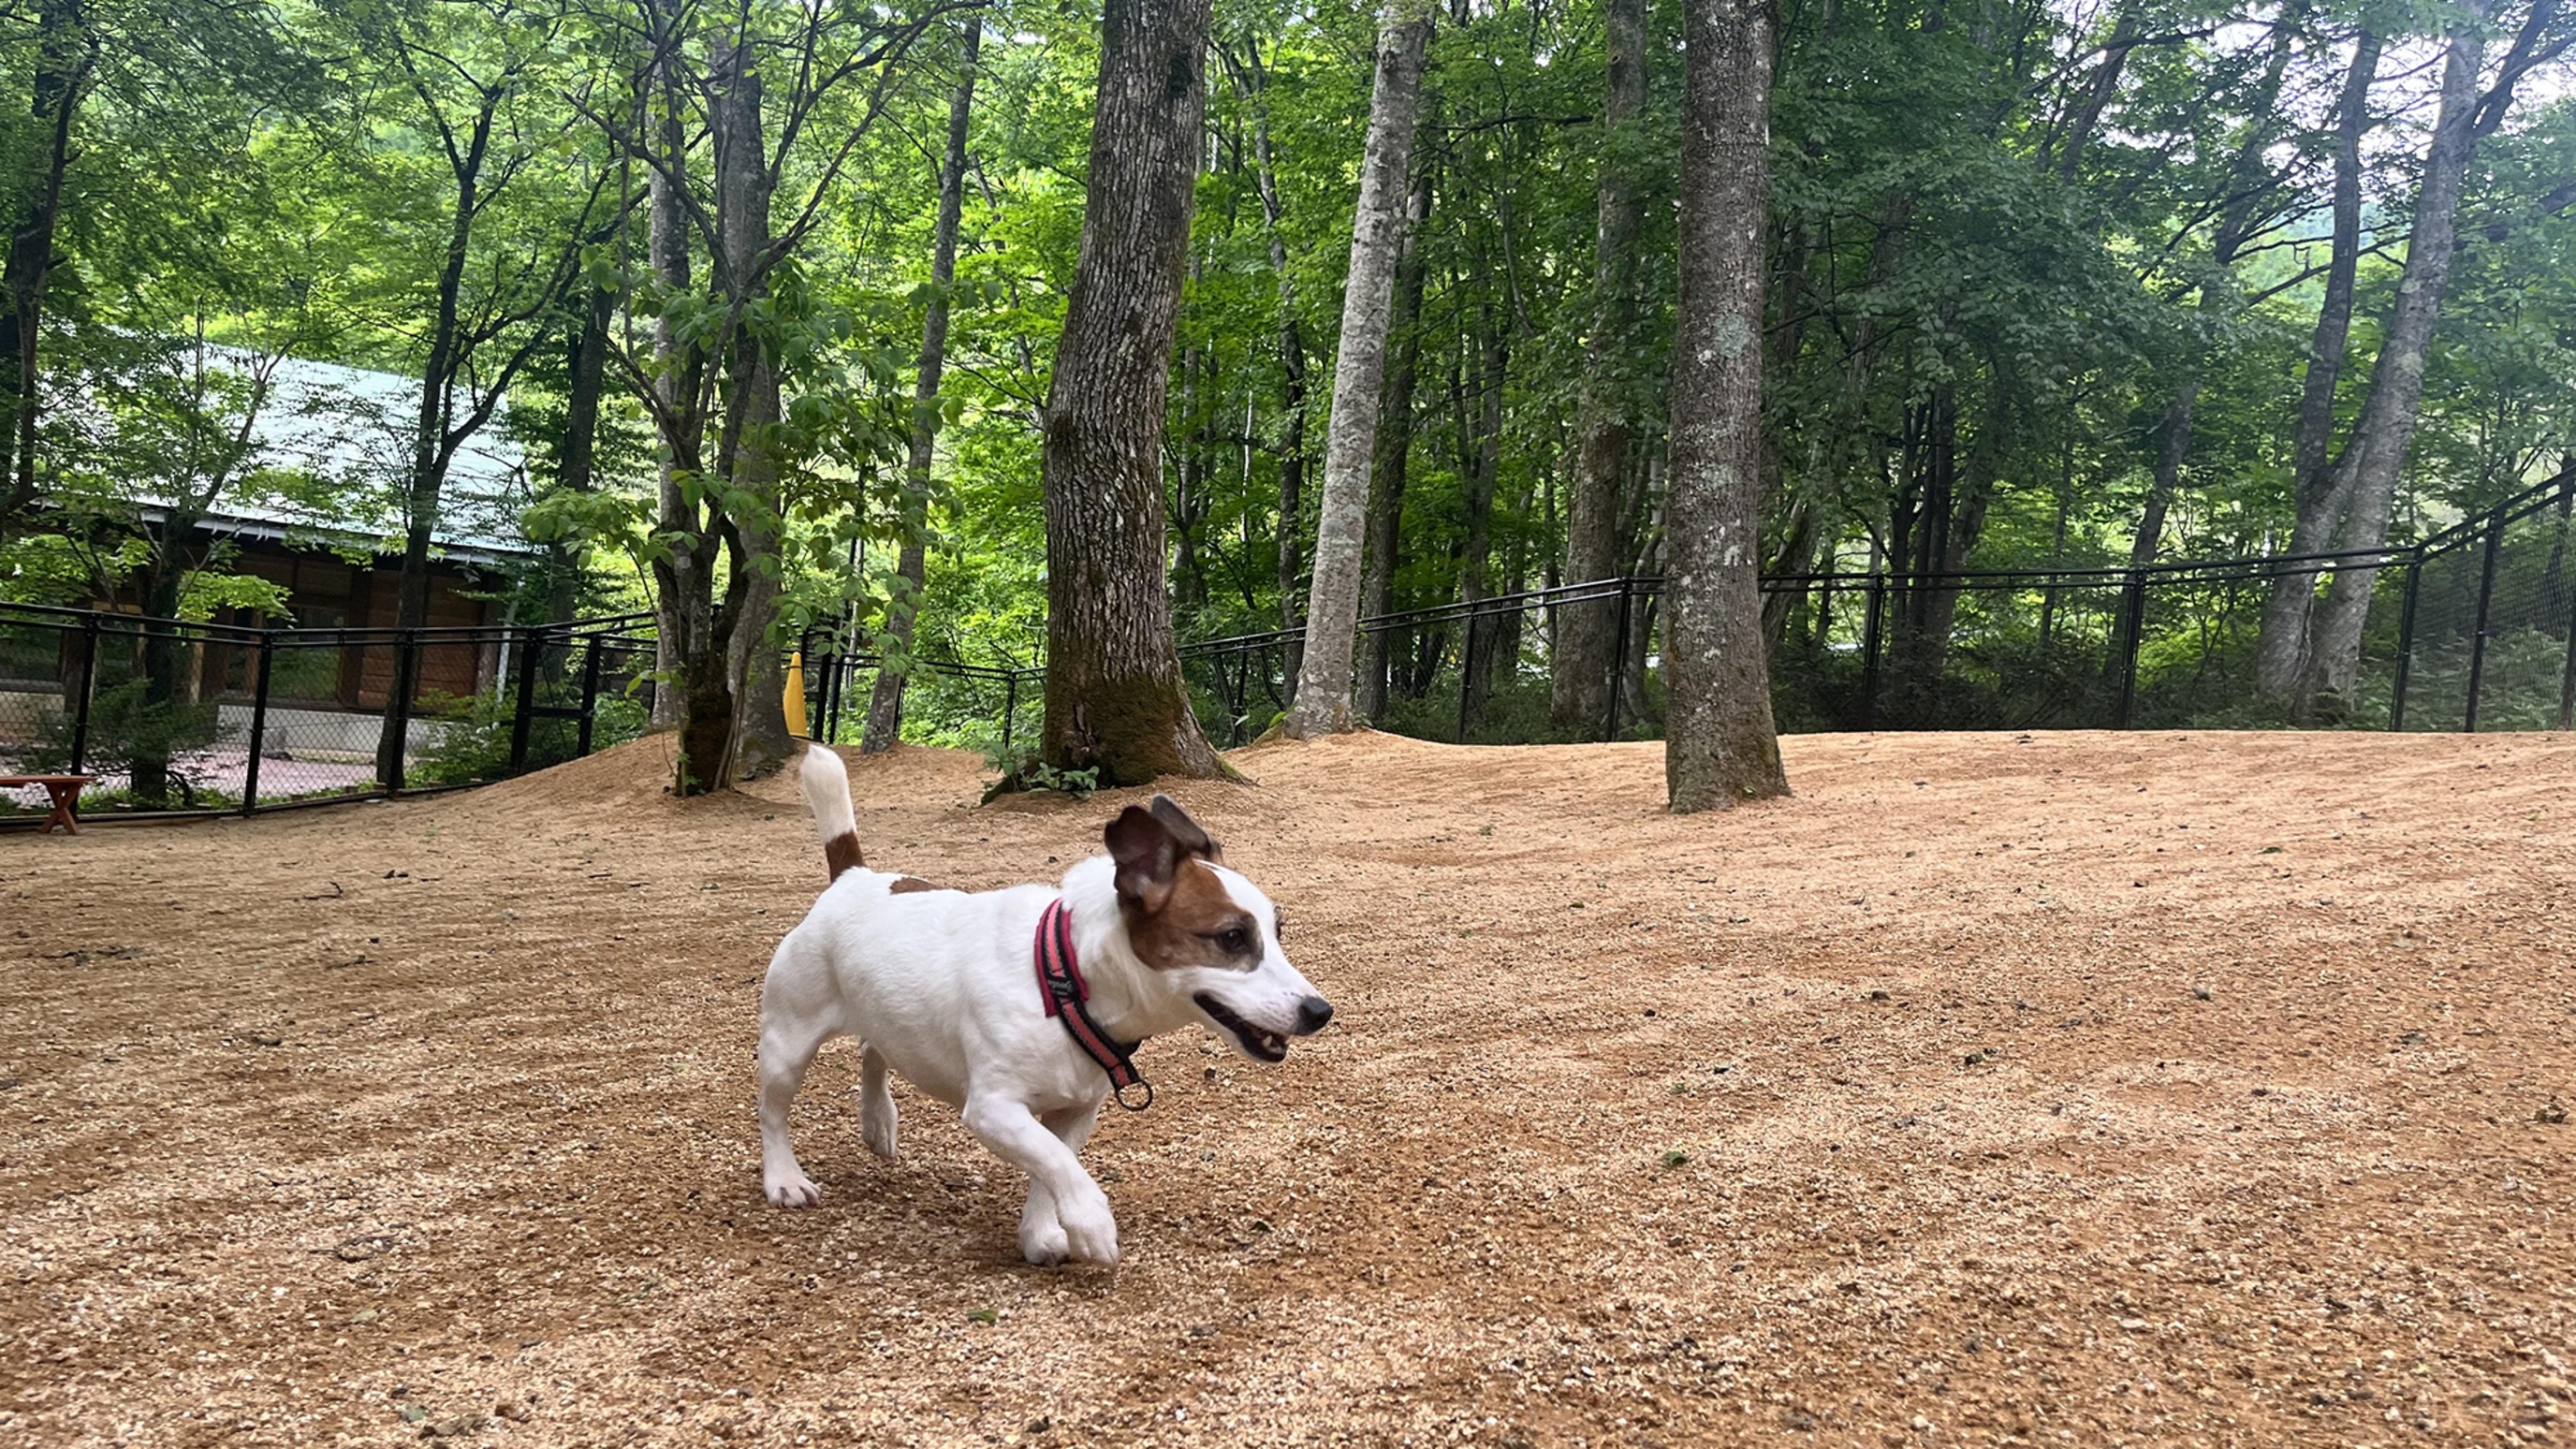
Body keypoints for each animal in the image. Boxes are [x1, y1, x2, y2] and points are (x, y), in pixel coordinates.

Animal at [757, 747, 1329, 1258]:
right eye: (1232, 938)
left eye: (1277, 932)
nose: (1319, 1011)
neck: (1065, 983)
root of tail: (852, 878)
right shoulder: (993, 1109)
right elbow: (1055, 1161)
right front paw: (1091, 1221)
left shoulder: (1076, 1109)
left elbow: (1052, 1163)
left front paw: (1042, 1232)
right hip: (788, 1040)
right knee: (774, 1113)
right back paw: (784, 1178)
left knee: (872, 1048)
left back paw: (878, 1121)